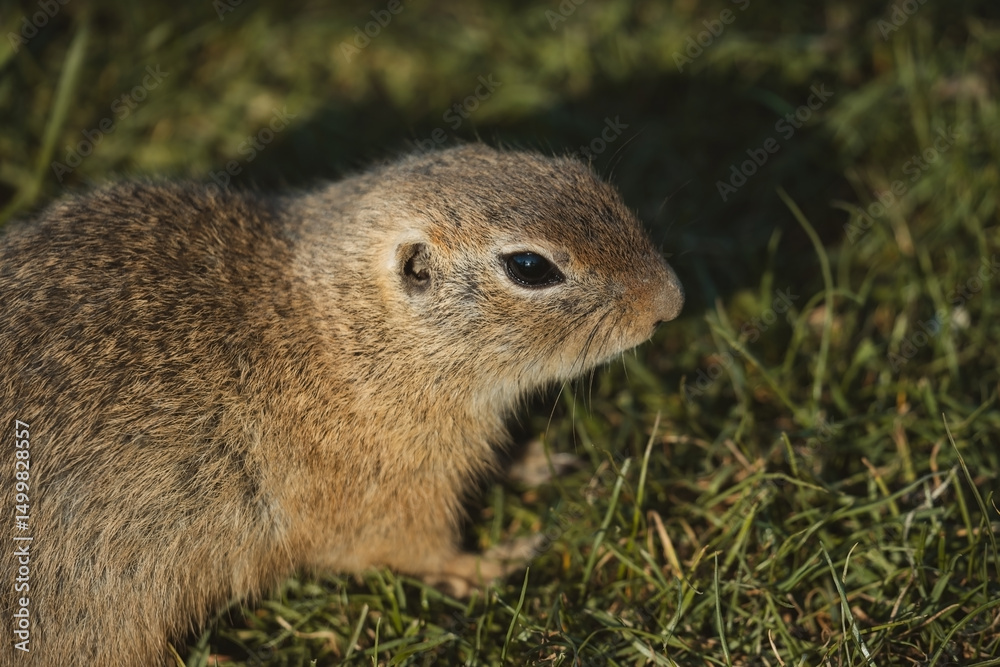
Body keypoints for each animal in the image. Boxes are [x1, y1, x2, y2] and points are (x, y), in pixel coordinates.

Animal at [0, 144, 683, 664]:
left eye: (588, 178)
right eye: (529, 266)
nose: (670, 301)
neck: (346, 334)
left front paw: (532, 463)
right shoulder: (389, 499)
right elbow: (415, 550)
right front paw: (489, 565)